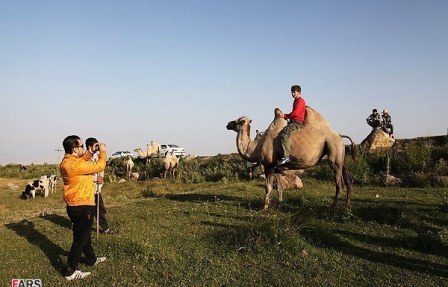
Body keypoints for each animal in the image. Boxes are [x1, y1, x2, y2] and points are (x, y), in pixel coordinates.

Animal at [226, 106, 356, 209]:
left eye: (239, 121)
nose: (227, 124)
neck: (255, 147)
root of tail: (339, 135)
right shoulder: (277, 168)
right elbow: (279, 187)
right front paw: (280, 204)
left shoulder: (269, 165)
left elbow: (268, 187)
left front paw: (265, 207)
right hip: (341, 154)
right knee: (348, 180)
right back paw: (347, 204)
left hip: (333, 151)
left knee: (339, 183)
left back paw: (333, 207)